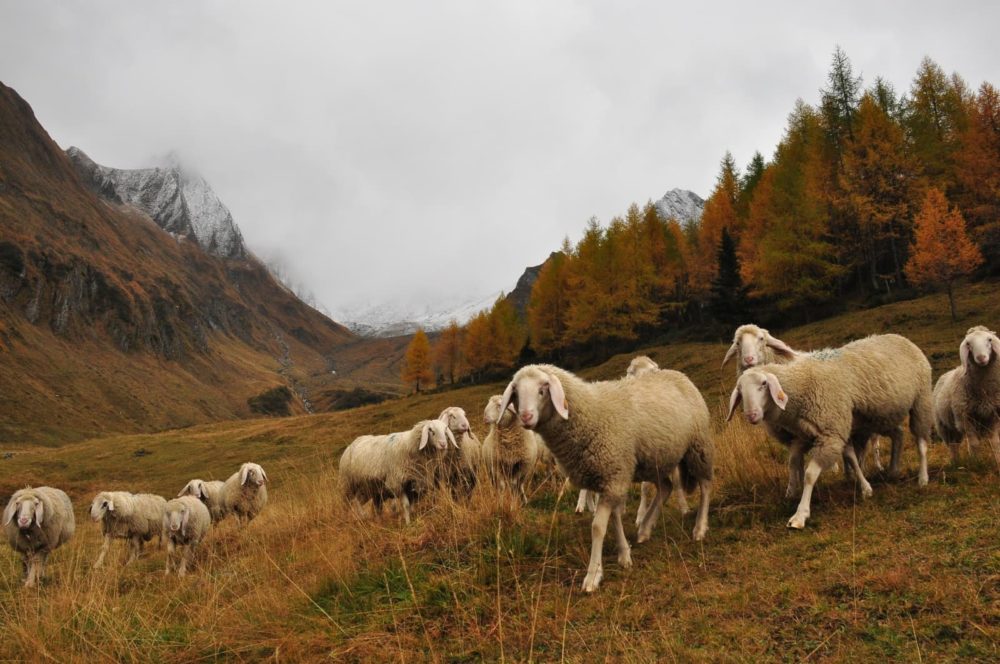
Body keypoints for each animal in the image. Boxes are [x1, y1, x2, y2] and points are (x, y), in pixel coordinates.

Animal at [498, 364, 716, 592]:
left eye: (542, 390)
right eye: (516, 393)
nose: (526, 417)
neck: (589, 414)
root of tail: (677, 374)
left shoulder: (613, 475)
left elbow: (598, 527)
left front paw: (593, 575)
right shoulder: (613, 477)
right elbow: (615, 518)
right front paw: (624, 554)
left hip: (698, 446)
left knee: (705, 485)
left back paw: (699, 528)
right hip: (656, 459)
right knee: (665, 487)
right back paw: (645, 529)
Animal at [724, 332, 932, 528]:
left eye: (764, 384)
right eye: (740, 391)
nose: (751, 415)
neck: (801, 384)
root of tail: (899, 337)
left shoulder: (830, 433)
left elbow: (810, 474)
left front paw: (800, 514)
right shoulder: (812, 434)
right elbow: (798, 462)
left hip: (920, 400)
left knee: (921, 441)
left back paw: (922, 478)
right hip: (881, 417)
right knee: (899, 434)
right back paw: (893, 471)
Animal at [928, 326, 1000, 464]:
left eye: (989, 339)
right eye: (968, 344)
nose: (981, 358)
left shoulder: (994, 415)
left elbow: (994, 442)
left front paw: (997, 460)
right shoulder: (965, 417)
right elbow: (974, 444)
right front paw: (976, 463)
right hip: (944, 426)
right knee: (953, 445)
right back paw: (955, 463)